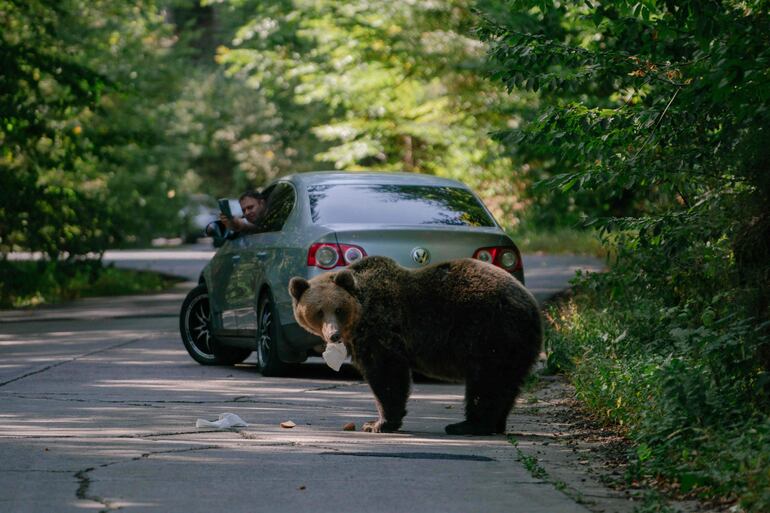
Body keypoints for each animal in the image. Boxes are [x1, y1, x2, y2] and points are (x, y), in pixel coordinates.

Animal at [286, 255, 540, 432]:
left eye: (338, 309)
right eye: (319, 312)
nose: (334, 335)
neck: (359, 318)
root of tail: (531, 304)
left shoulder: (381, 330)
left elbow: (386, 375)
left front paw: (377, 423)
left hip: (490, 332)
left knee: (485, 382)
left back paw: (468, 425)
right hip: (512, 344)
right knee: (505, 383)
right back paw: (494, 424)